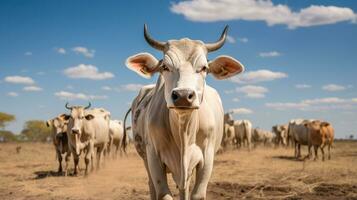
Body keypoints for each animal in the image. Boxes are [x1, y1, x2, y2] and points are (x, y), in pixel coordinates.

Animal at [124, 24, 243, 199]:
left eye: (204, 68)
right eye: (165, 67)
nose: (183, 96)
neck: (183, 131)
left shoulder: (207, 159)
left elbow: (196, 194)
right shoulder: (154, 158)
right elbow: (163, 194)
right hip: (146, 159)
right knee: (152, 186)